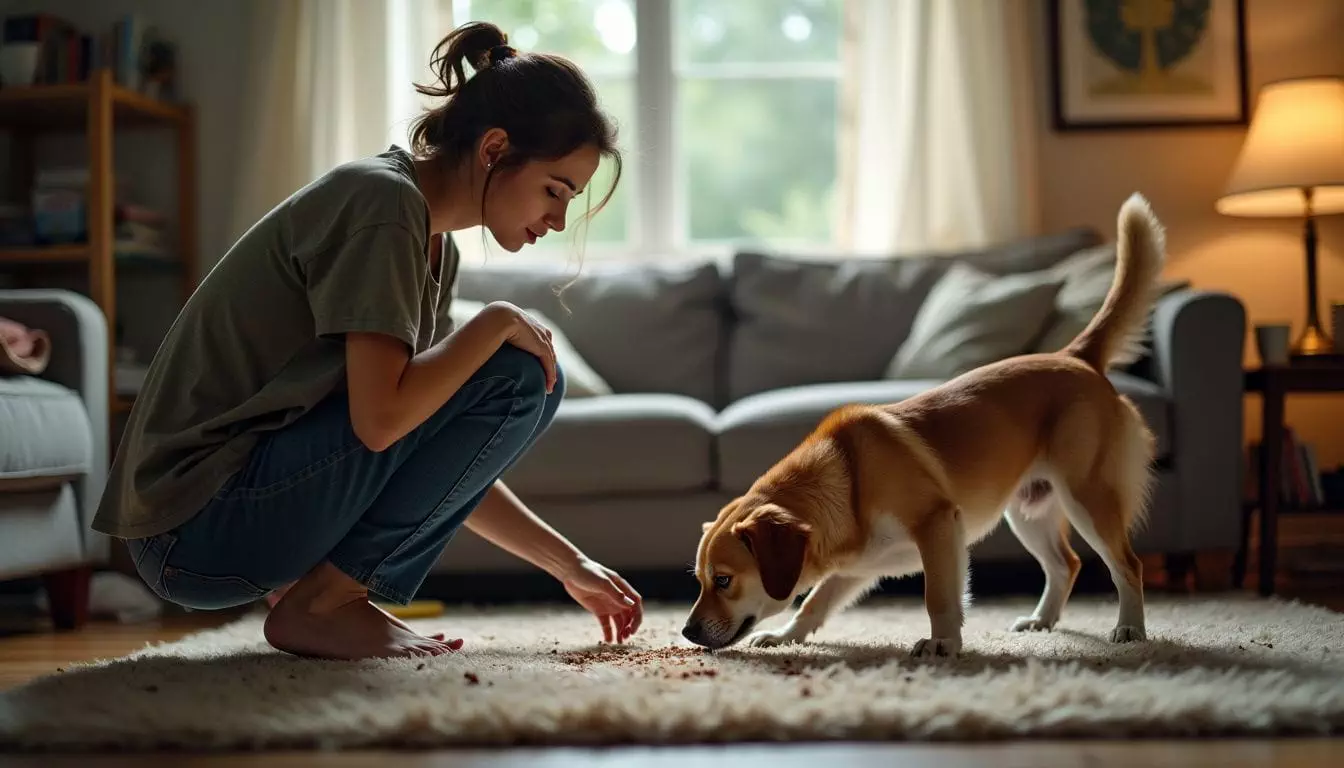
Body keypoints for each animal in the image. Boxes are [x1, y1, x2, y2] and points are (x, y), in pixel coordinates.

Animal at [682, 193, 1166, 661]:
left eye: (723, 580)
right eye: (700, 580)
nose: (686, 632)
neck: (849, 480)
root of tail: (1075, 356)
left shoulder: (938, 527)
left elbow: (939, 598)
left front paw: (943, 644)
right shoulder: (857, 566)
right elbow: (815, 602)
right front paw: (787, 636)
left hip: (1087, 497)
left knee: (1128, 565)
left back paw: (1130, 629)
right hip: (1028, 509)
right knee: (1066, 564)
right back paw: (1042, 622)